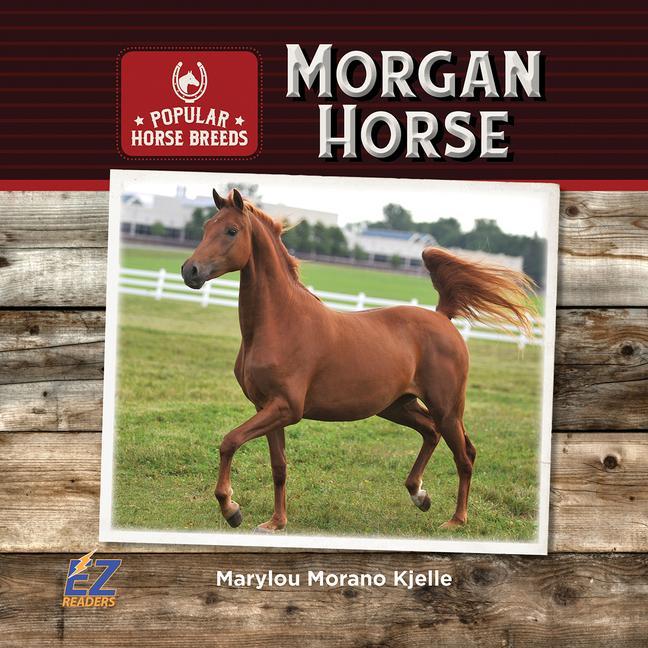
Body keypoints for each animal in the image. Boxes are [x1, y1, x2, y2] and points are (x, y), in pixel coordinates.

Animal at [181, 189, 536, 533]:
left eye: (231, 230)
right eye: (206, 226)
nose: (190, 271)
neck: (281, 322)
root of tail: (442, 317)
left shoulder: (285, 407)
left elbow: (229, 441)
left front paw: (231, 509)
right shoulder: (266, 407)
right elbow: (278, 466)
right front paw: (275, 522)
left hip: (446, 408)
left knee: (464, 455)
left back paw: (456, 520)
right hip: (398, 406)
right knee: (432, 433)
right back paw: (419, 494)